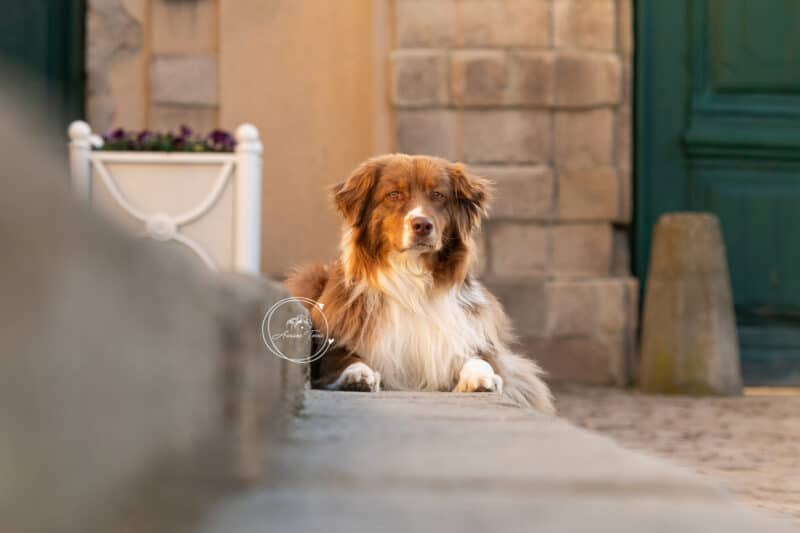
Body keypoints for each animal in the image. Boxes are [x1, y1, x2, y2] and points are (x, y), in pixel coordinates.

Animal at [288, 154, 556, 412]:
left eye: (437, 195)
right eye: (394, 194)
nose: (423, 225)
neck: (411, 276)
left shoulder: (473, 337)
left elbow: (481, 360)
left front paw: (481, 378)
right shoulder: (337, 339)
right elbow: (343, 358)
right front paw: (357, 374)